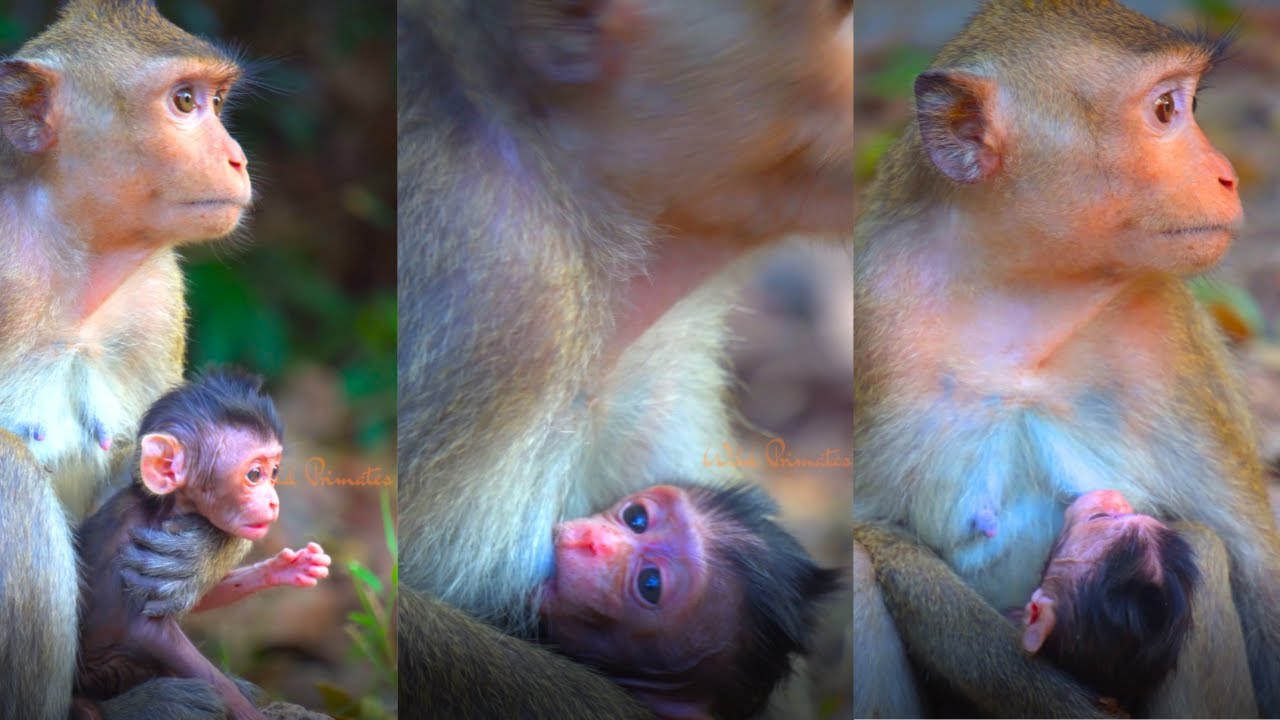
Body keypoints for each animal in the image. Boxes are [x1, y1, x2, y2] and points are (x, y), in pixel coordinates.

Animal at [0, 2, 254, 716]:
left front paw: (202, 551)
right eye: (184, 101)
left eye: (215, 101)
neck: (71, 255)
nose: (236, 158)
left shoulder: (158, 295)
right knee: (11, 472)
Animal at [72, 369, 331, 720]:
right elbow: (152, 635)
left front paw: (286, 567)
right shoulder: (131, 552)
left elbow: (196, 596)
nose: (274, 502)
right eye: (254, 474)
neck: (161, 510)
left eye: (275, 471)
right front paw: (249, 712)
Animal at [853, 0, 1279, 717]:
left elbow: (1260, 580)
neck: (1021, 296)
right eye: (1166, 108)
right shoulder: (870, 321)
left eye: (1187, 104)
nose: (1227, 174)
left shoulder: (1165, 334)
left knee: (1201, 545)